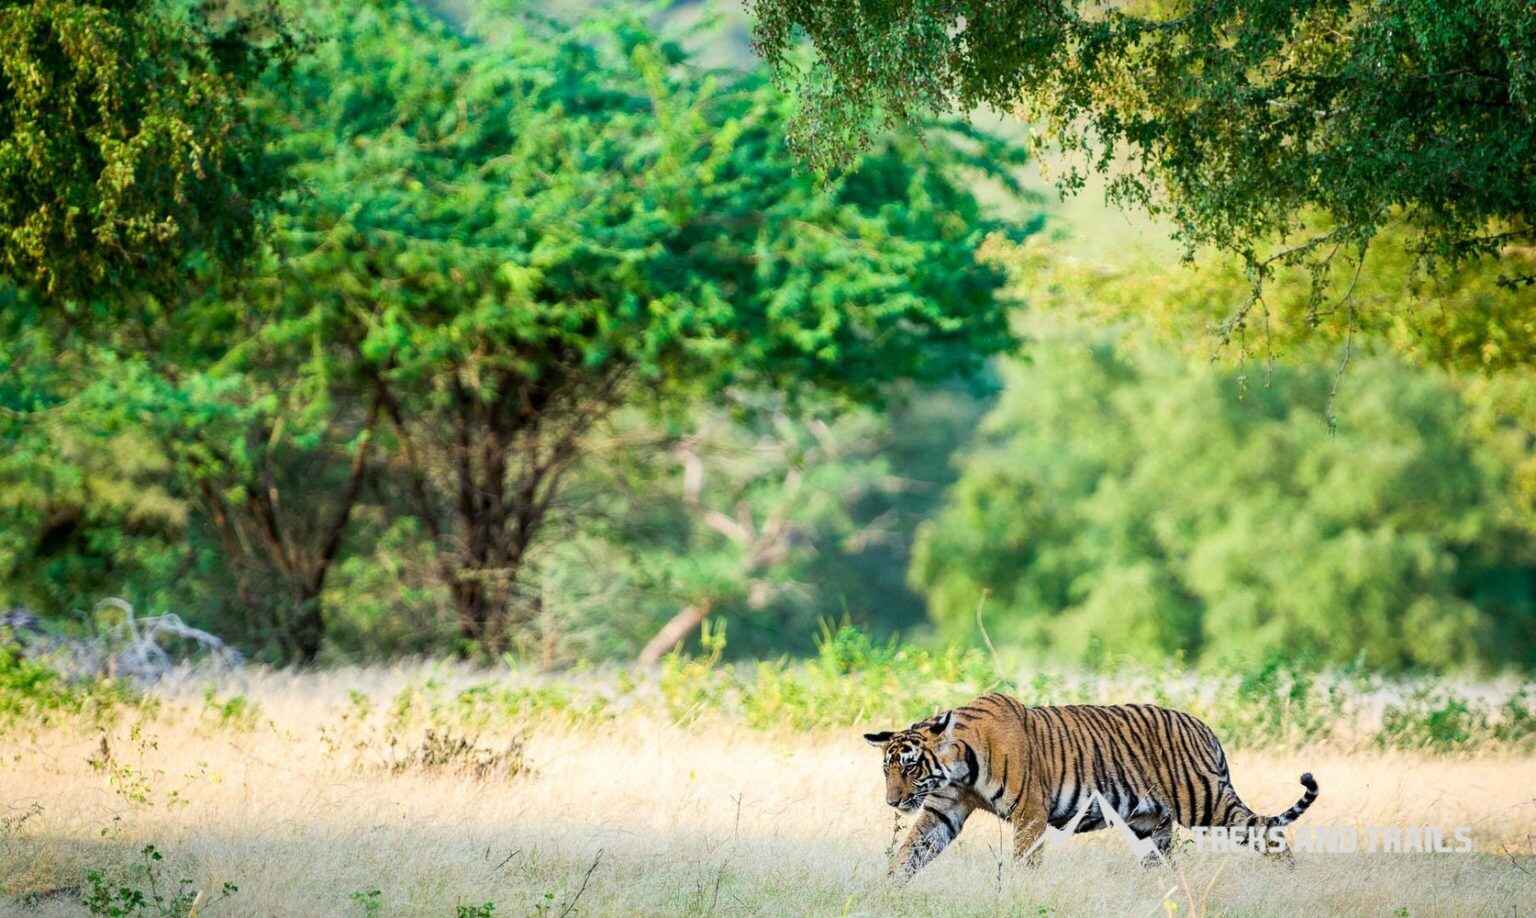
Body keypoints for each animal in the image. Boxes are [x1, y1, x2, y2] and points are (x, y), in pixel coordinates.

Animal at [866, 693, 1320, 884]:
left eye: (910, 766)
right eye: (887, 770)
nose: (892, 801)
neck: (958, 768)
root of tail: (1204, 727)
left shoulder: (1030, 814)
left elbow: (1024, 862)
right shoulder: (942, 810)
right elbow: (908, 854)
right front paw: (884, 894)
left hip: (1205, 801)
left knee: (1267, 832)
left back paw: (1293, 883)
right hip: (1151, 825)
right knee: (1166, 865)